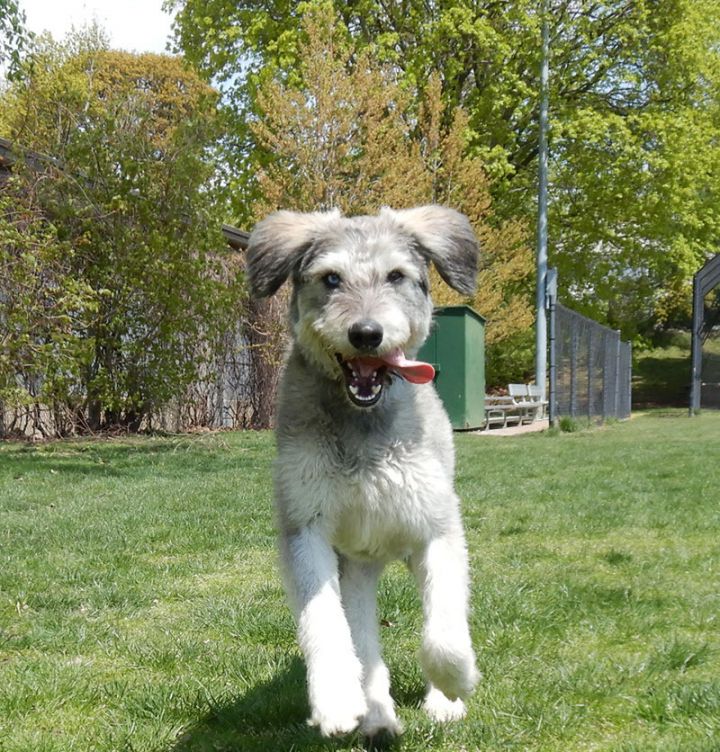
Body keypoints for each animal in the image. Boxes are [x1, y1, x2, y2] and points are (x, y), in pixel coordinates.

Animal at [246, 207, 478, 740]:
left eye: (396, 276)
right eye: (331, 278)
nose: (366, 333)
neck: (362, 424)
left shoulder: (437, 529)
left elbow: (443, 629)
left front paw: (455, 682)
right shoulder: (306, 528)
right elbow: (324, 621)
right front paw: (335, 698)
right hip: (356, 571)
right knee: (366, 646)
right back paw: (375, 714)